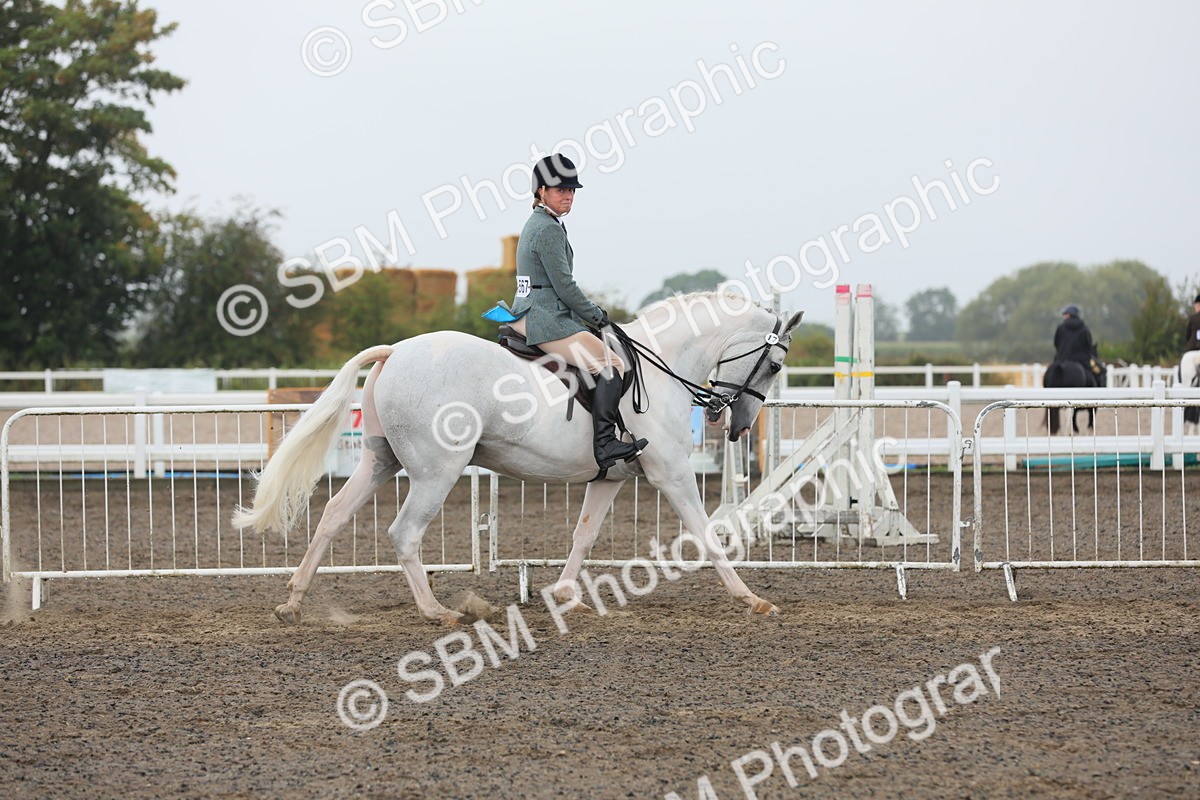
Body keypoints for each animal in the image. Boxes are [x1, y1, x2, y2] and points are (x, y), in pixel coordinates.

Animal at [233, 292, 804, 625]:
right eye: (775, 365)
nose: (737, 425)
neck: (661, 367)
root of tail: (395, 351)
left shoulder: (612, 476)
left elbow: (584, 535)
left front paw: (566, 594)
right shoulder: (673, 474)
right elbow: (707, 534)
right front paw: (751, 598)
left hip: (381, 462)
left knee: (333, 515)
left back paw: (293, 600)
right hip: (436, 471)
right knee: (404, 533)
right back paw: (437, 611)